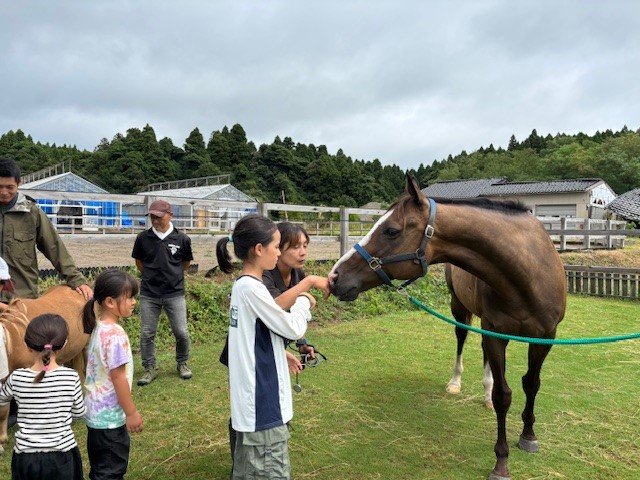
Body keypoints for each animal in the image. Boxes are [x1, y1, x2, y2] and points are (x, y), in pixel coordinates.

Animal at [329, 175, 566, 480]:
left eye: (391, 231)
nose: (335, 276)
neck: (528, 274)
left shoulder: (545, 338)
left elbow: (532, 384)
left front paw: (528, 435)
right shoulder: (495, 334)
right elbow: (504, 395)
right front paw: (501, 462)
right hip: (460, 310)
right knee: (462, 340)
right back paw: (457, 383)